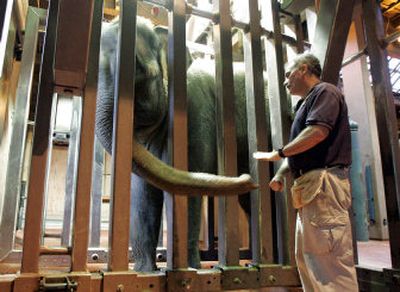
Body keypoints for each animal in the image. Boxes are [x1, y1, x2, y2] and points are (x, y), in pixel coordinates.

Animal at [94, 16, 262, 272]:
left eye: (137, 70)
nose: (248, 179)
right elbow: (143, 193)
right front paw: (144, 273)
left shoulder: (195, 111)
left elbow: (186, 177)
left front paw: (191, 269)